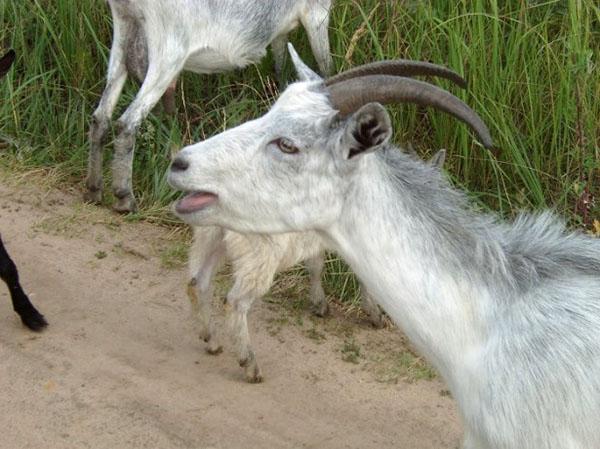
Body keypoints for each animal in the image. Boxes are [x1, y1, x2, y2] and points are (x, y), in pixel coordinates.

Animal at [85, 0, 332, 213]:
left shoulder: (280, 30)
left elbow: (281, 66)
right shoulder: (317, 13)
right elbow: (326, 68)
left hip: (124, 32)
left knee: (101, 116)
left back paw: (94, 189)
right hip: (169, 50)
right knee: (127, 123)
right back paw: (124, 198)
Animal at [188, 149, 446, 380]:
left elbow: (315, 264)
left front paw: (319, 304)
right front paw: (375, 316)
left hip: (208, 236)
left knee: (197, 282)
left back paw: (211, 341)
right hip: (258, 254)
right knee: (234, 301)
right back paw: (250, 365)